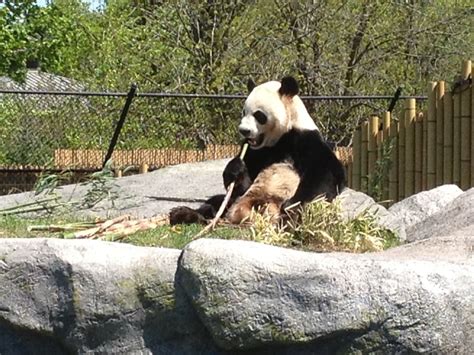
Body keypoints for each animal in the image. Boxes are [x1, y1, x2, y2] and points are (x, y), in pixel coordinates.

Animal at [169, 76, 344, 225]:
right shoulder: (256, 152)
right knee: (217, 202)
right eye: (244, 112)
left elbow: (325, 176)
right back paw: (185, 214)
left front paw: (291, 206)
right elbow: (243, 182)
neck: (279, 139)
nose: (244, 131)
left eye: (259, 115)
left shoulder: (305, 140)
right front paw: (235, 169)